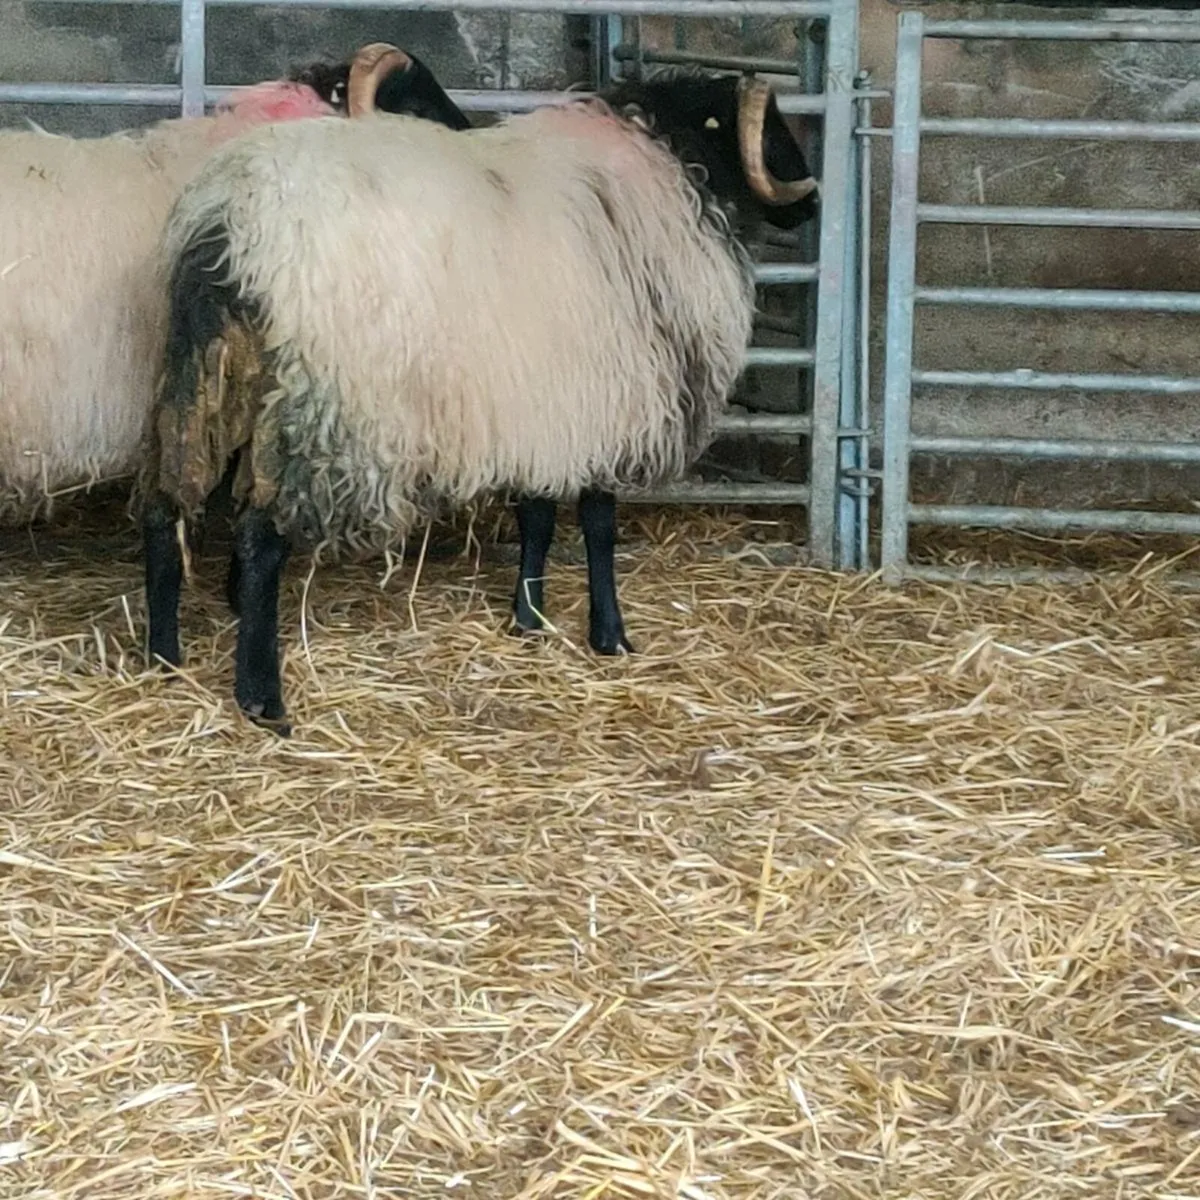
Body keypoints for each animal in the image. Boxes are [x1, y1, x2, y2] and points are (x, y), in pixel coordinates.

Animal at [138, 65, 819, 734]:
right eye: (768, 127)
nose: (812, 204)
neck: (669, 171)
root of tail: (229, 225)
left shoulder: (544, 405)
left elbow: (537, 515)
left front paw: (529, 619)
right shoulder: (607, 396)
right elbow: (598, 525)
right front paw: (609, 635)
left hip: (206, 386)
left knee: (166, 511)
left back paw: (163, 658)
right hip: (318, 408)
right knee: (260, 537)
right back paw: (263, 699)